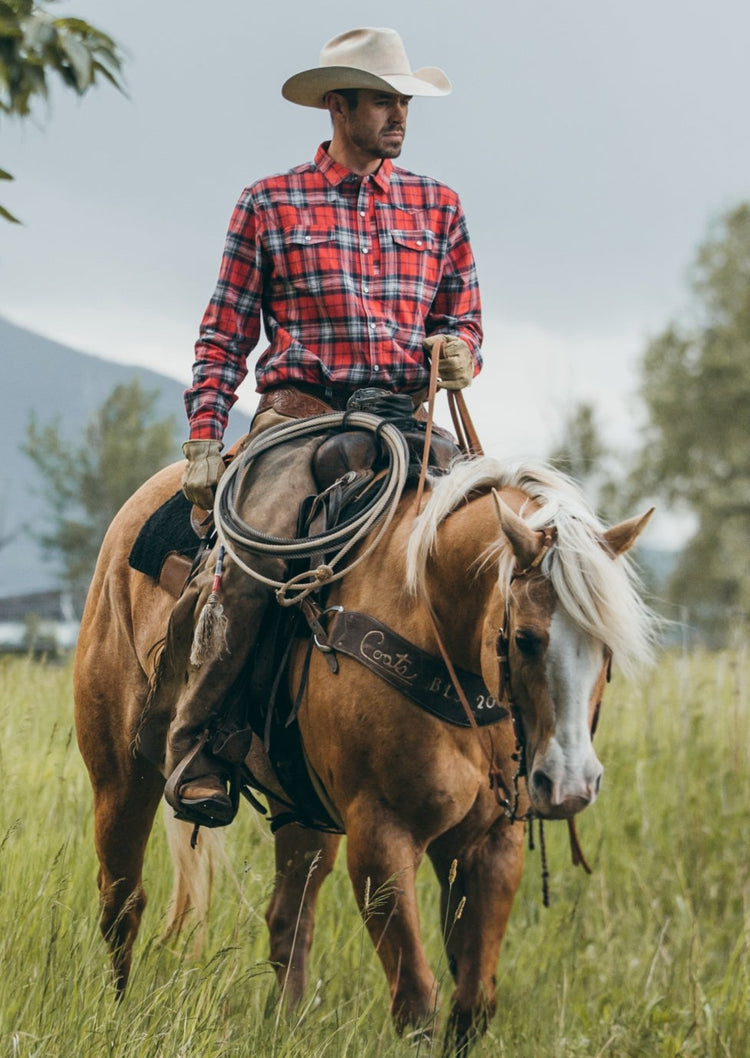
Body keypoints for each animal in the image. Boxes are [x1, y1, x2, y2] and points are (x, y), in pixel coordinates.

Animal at [71, 429, 655, 1049]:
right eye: (524, 639)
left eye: (605, 648)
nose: (570, 785)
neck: (434, 626)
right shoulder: (381, 836)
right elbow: (416, 1001)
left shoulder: (492, 842)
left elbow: (472, 1004)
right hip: (119, 780)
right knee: (122, 899)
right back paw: (120, 1013)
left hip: (302, 810)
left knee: (288, 919)